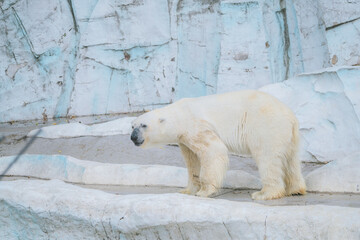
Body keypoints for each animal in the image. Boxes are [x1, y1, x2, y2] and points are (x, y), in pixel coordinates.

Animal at [131, 90, 306, 201]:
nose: (133, 137)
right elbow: (192, 161)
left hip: (266, 126)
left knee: (267, 158)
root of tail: (290, 116)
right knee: (291, 160)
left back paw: (265, 194)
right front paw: (187, 190)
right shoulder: (185, 139)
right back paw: (296, 189)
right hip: (291, 135)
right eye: (132, 126)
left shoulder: (196, 126)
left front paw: (204, 192)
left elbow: (213, 151)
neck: (180, 115)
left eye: (144, 125)